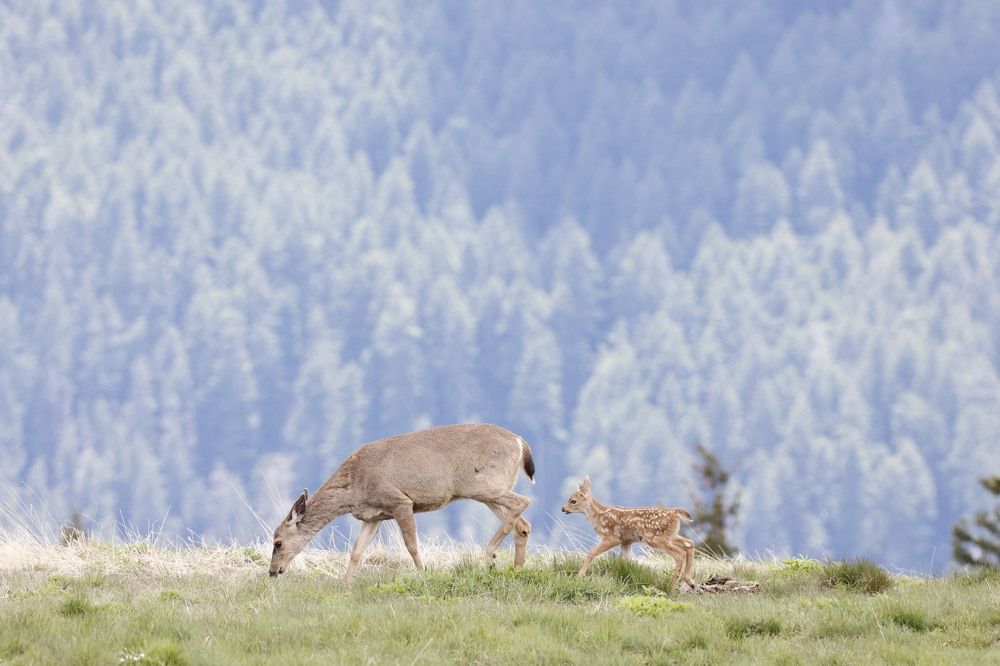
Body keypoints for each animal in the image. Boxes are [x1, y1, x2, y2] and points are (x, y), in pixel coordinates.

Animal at [268, 423, 535, 582]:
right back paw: (516, 568)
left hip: (481, 484)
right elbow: (356, 551)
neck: (355, 486)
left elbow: (412, 545)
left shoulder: (400, 501)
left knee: (523, 501)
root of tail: (521, 442)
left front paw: (423, 575)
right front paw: (345, 584)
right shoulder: (373, 516)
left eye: (278, 542)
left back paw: (490, 554)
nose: (272, 571)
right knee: (523, 525)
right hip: (492, 488)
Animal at [561, 477, 699, 591]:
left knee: (680, 554)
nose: (562, 508)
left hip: (655, 538)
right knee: (689, 543)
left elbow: (591, 553)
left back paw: (673, 586)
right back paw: (690, 582)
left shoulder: (611, 538)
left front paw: (578, 577)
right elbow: (625, 560)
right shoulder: (626, 541)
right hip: (670, 535)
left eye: (573, 501)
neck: (598, 516)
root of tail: (675, 512)